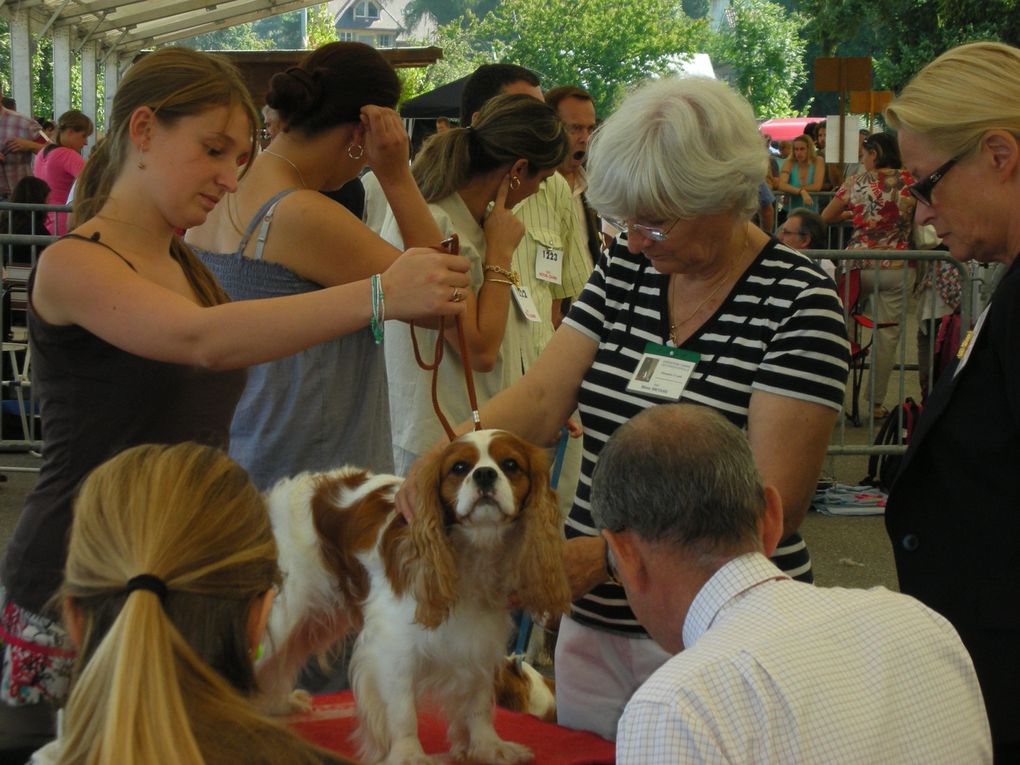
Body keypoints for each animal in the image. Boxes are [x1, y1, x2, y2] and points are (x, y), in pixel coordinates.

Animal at [259, 432, 571, 765]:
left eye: (511, 465)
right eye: (459, 467)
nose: (485, 474)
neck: (474, 552)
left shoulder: (480, 639)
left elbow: (478, 700)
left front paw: (488, 746)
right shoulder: (393, 646)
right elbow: (402, 709)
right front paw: (409, 754)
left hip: (312, 619)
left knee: (282, 657)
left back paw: (276, 705)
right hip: (283, 612)